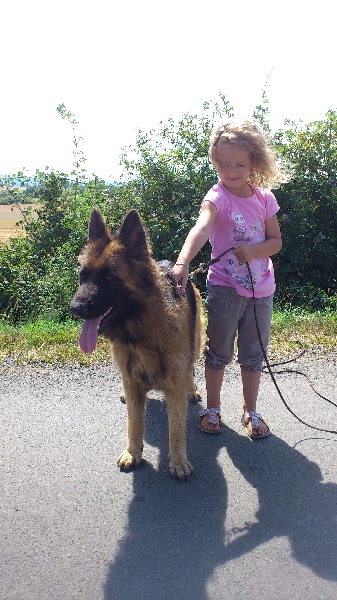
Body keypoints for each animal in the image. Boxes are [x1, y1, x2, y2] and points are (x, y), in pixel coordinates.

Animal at [70, 209, 202, 480]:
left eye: (108, 277)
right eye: (82, 276)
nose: (74, 309)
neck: (142, 332)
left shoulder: (174, 385)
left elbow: (176, 428)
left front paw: (178, 461)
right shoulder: (132, 383)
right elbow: (134, 423)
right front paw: (133, 452)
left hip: (196, 340)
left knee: (191, 368)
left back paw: (191, 389)